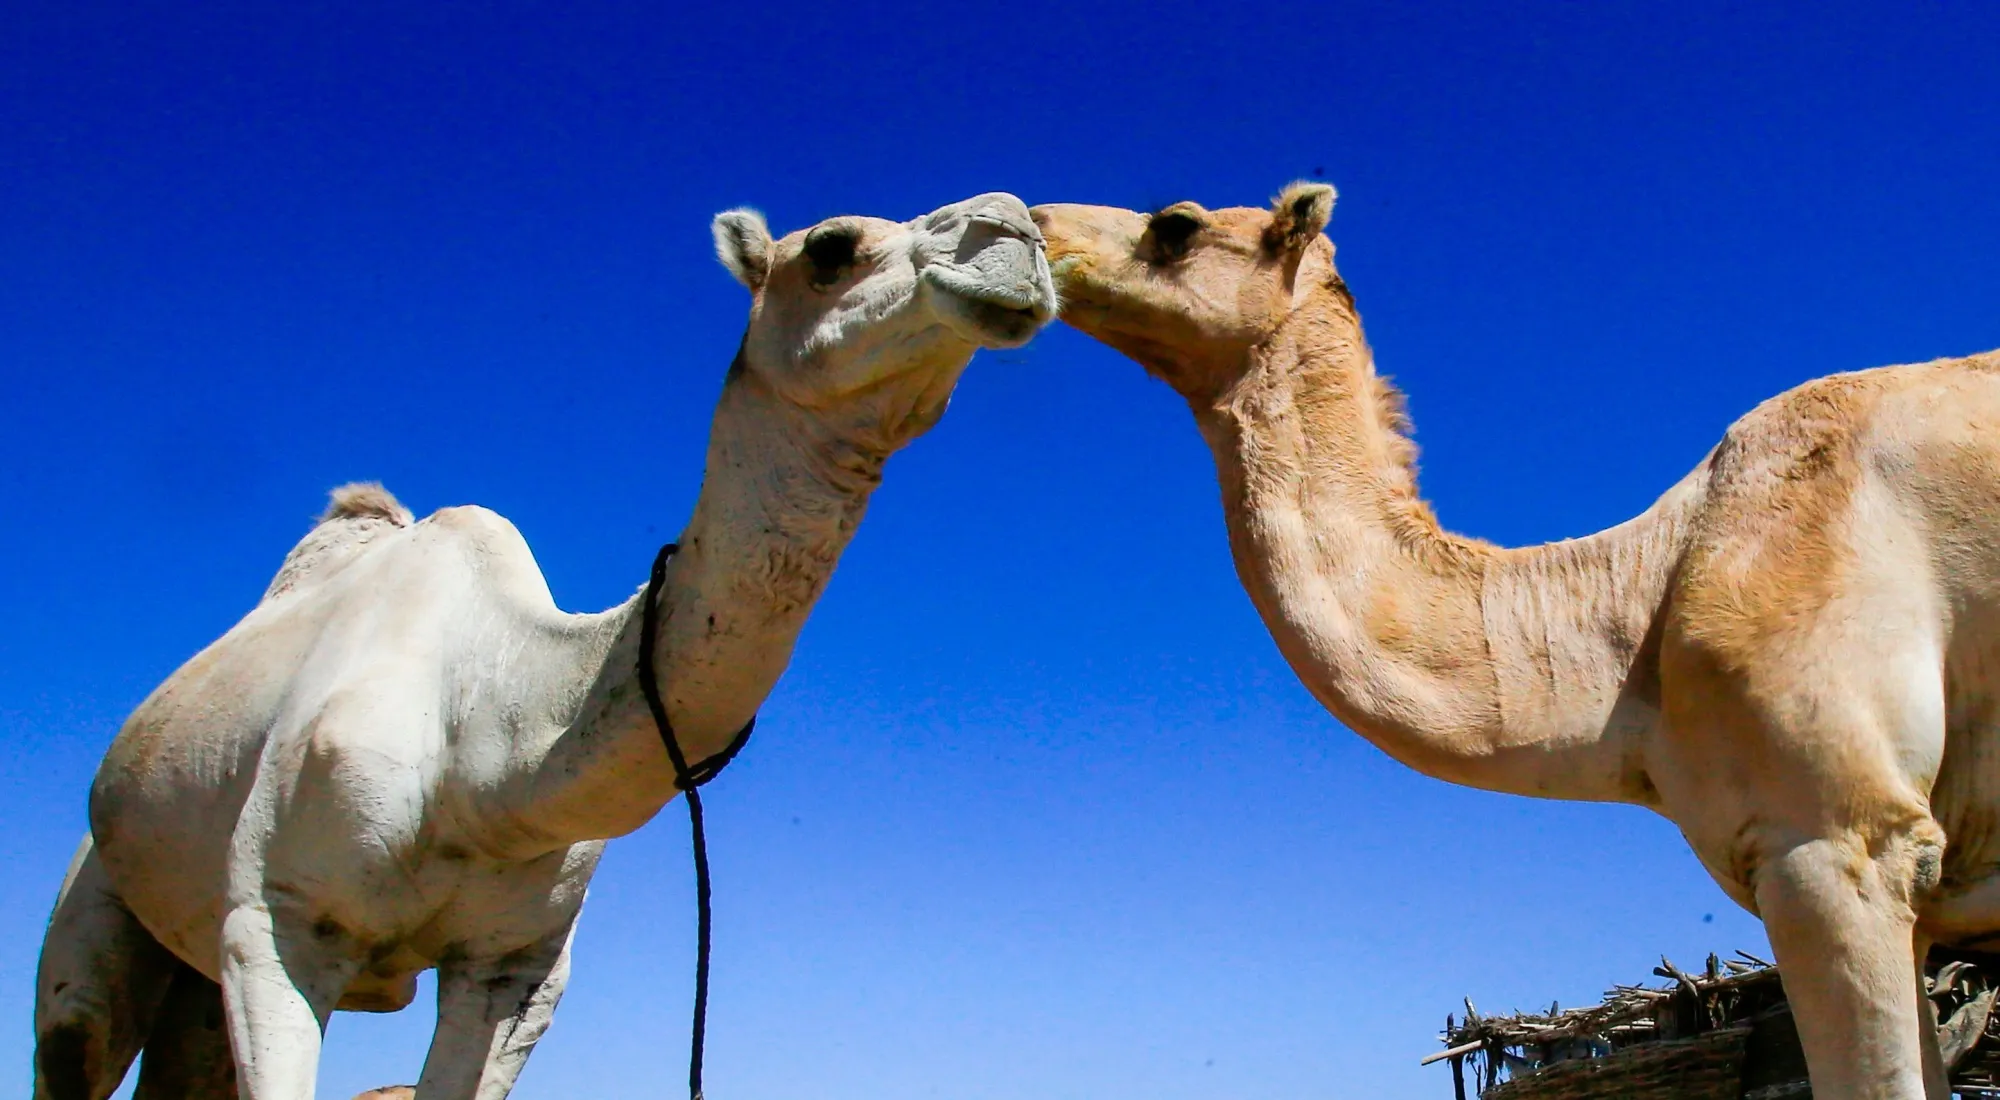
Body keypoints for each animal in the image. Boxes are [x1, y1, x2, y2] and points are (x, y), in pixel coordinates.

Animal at [34, 191, 1056, 1100]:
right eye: (832, 248)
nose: (1015, 231)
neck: (490, 746)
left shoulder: (515, 967)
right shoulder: (277, 924)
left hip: (195, 971)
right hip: (102, 901)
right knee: (76, 1033)